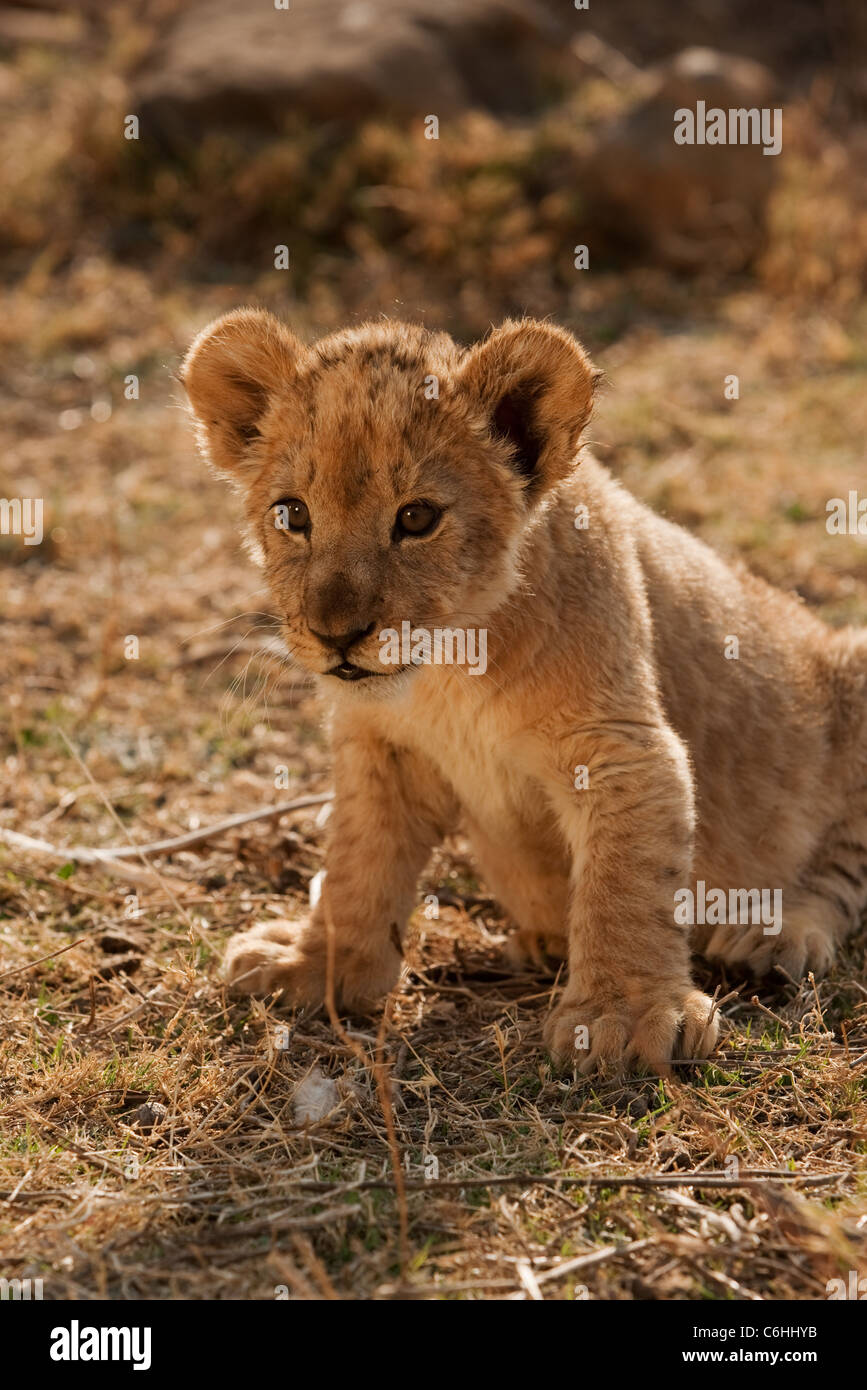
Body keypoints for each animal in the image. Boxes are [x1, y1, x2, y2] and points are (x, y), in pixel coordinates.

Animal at [181, 309, 867, 1074]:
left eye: (416, 518)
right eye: (292, 514)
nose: (337, 635)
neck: (449, 668)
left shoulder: (619, 747)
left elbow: (626, 881)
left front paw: (622, 1015)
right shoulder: (381, 746)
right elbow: (358, 862)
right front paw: (317, 964)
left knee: (843, 871)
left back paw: (772, 935)